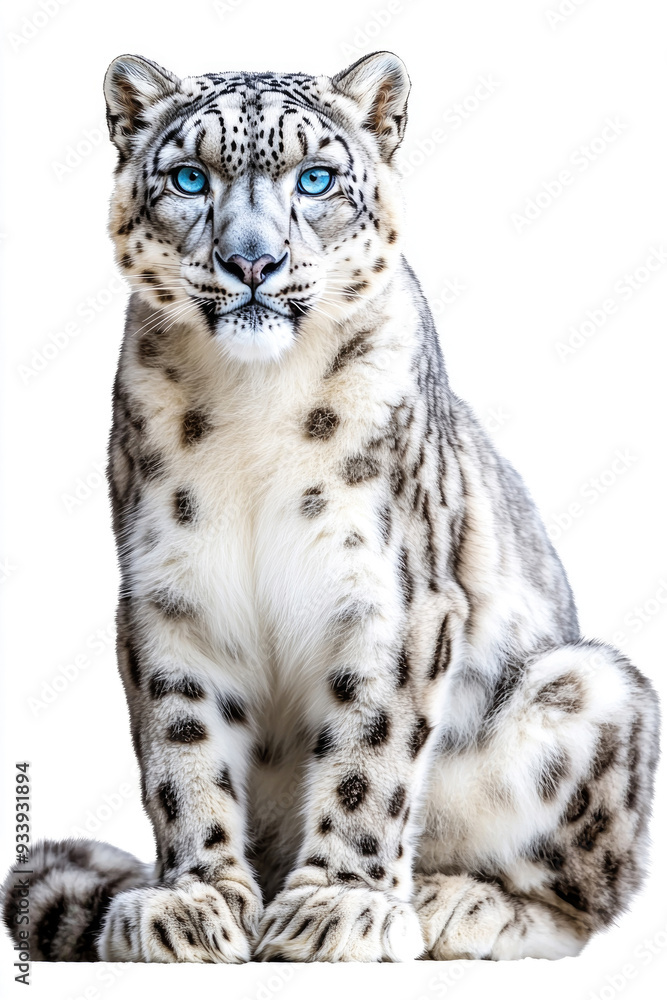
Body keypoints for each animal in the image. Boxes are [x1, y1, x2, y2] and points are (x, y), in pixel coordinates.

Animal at [2, 50, 660, 964]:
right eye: (190, 177)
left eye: (313, 178)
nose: (252, 262)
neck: (253, 400)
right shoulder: (169, 592)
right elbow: (181, 750)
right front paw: (193, 902)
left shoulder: (393, 592)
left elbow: (369, 753)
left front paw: (338, 907)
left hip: (590, 688)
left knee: (587, 896)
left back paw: (459, 905)